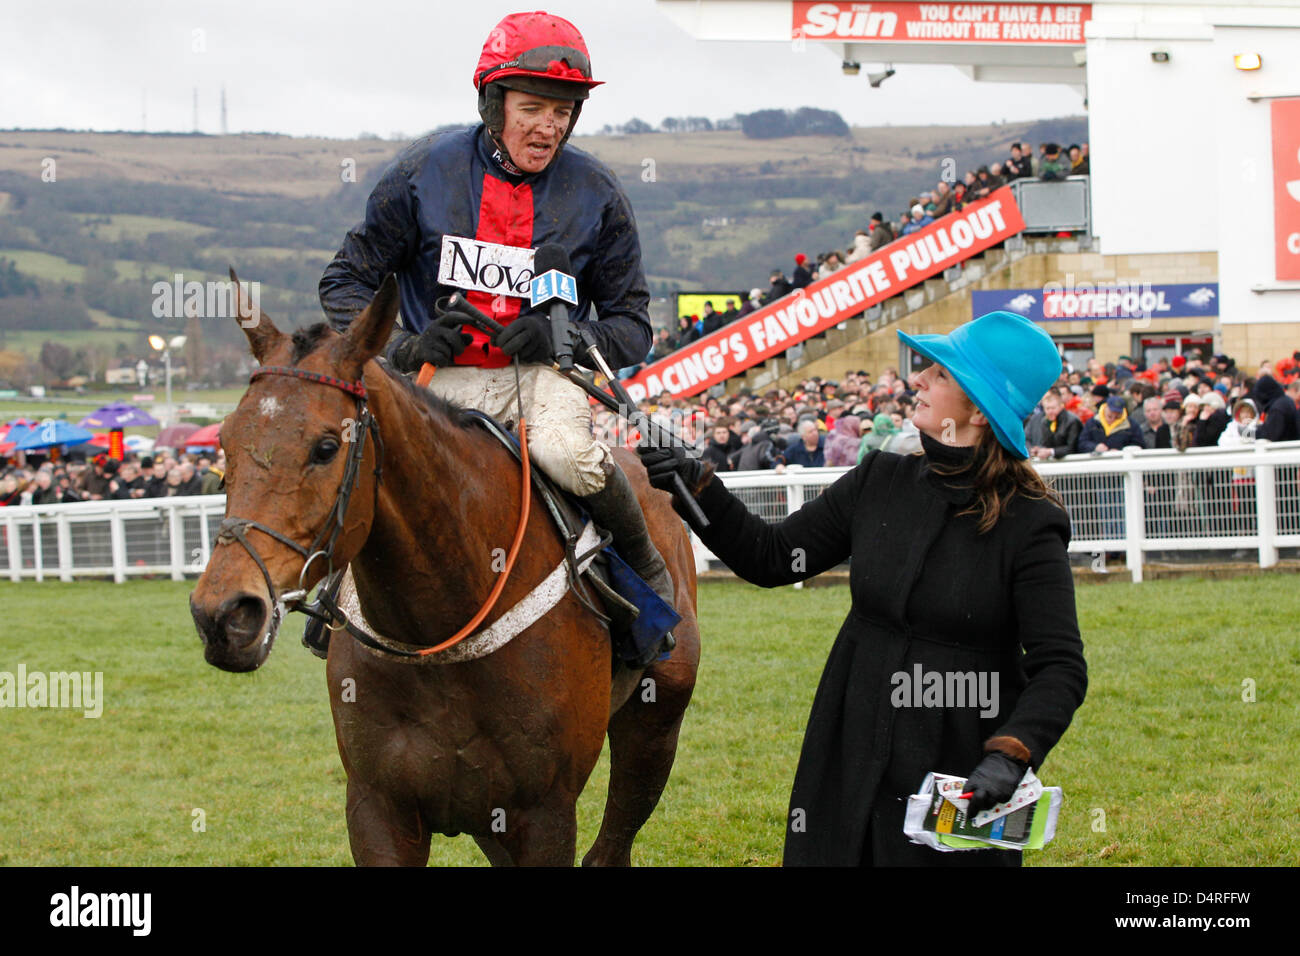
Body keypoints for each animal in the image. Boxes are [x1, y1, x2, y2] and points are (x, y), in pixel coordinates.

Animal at [189, 273, 702, 863]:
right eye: (224, 443)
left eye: (325, 447)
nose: (223, 614)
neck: (442, 622)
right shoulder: (378, 807)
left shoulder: (546, 812)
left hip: (656, 720)